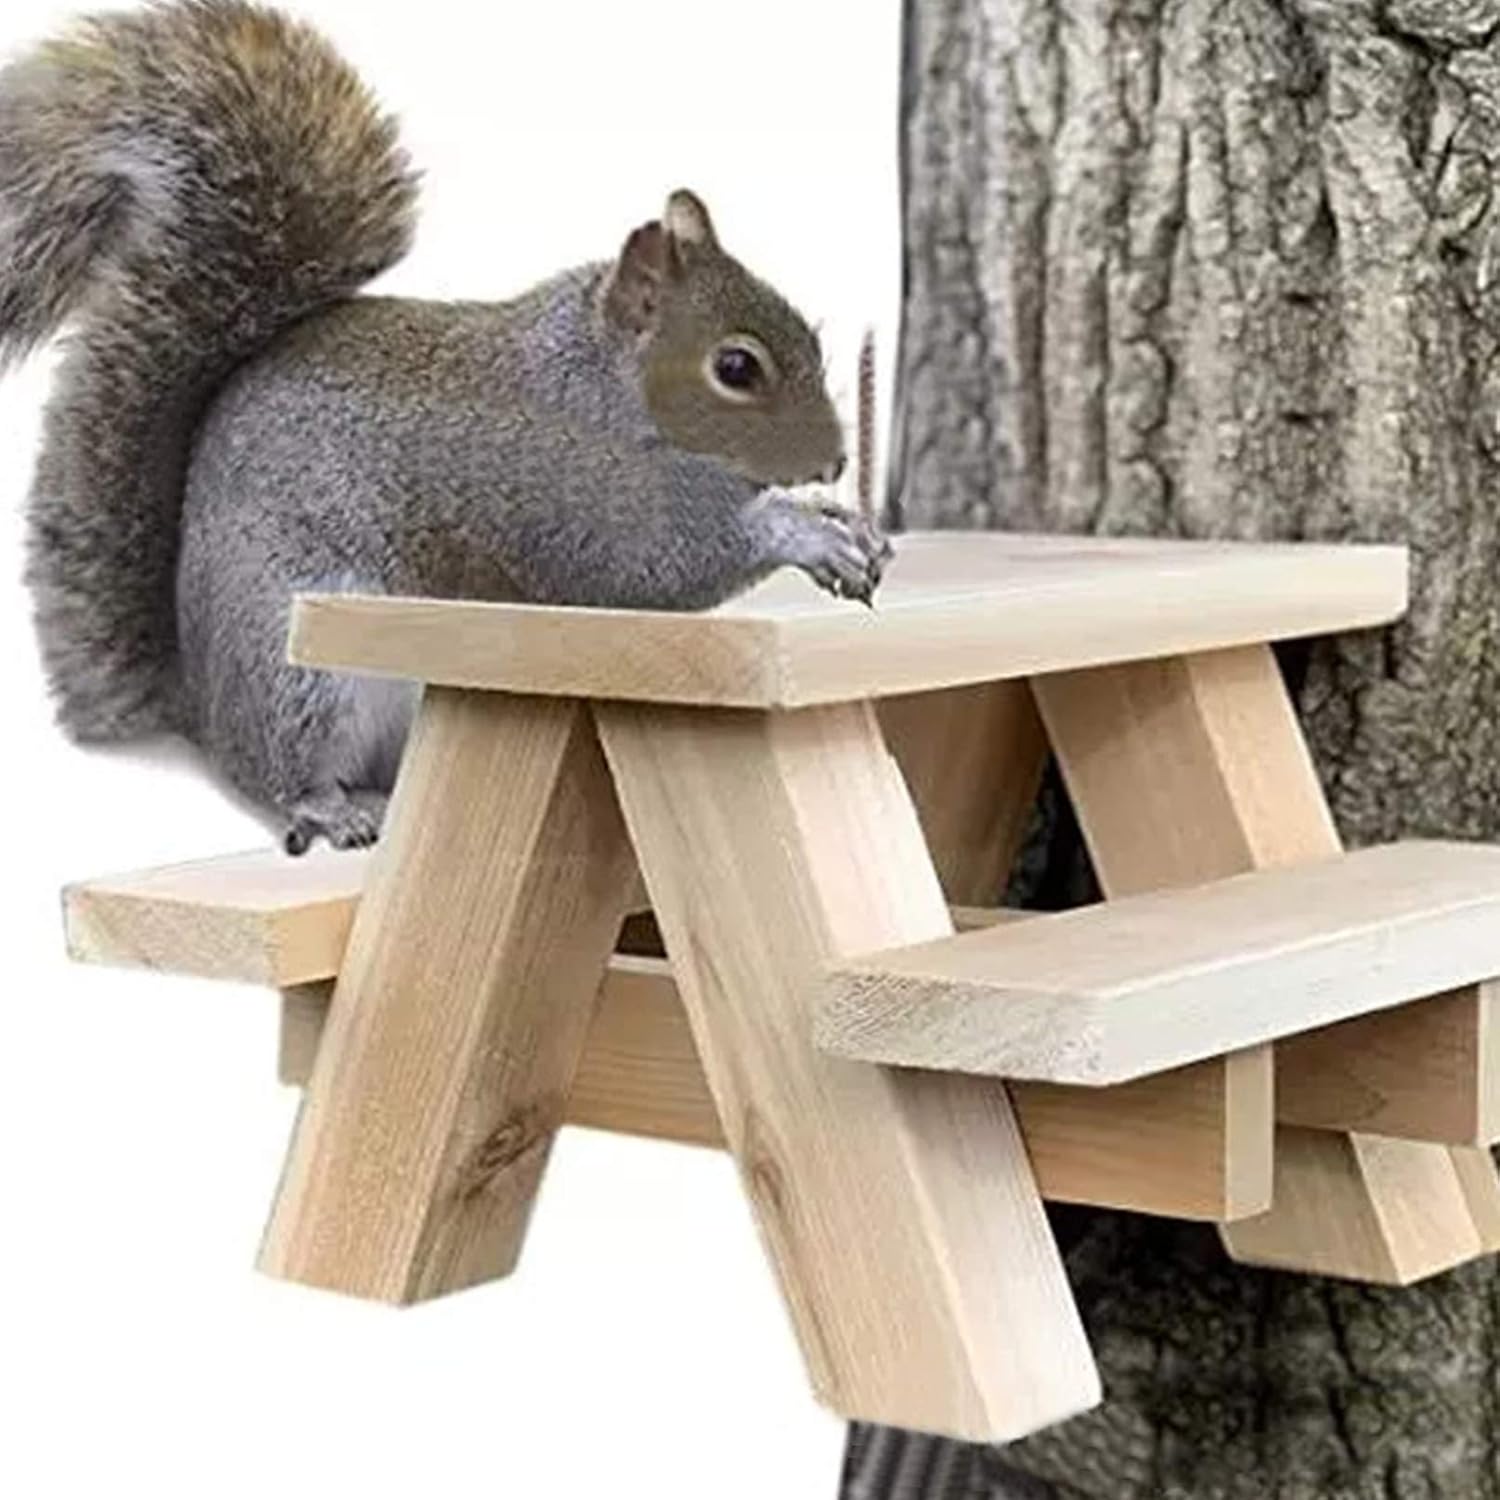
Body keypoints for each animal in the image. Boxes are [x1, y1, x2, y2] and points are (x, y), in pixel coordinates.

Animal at [0, 0, 890, 853]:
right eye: (736, 368)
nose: (836, 464)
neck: (604, 396)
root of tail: (199, 703)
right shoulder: (565, 497)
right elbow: (656, 567)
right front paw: (805, 531)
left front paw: (841, 524)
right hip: (296, 667)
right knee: (278, 770)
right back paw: (327, 807)